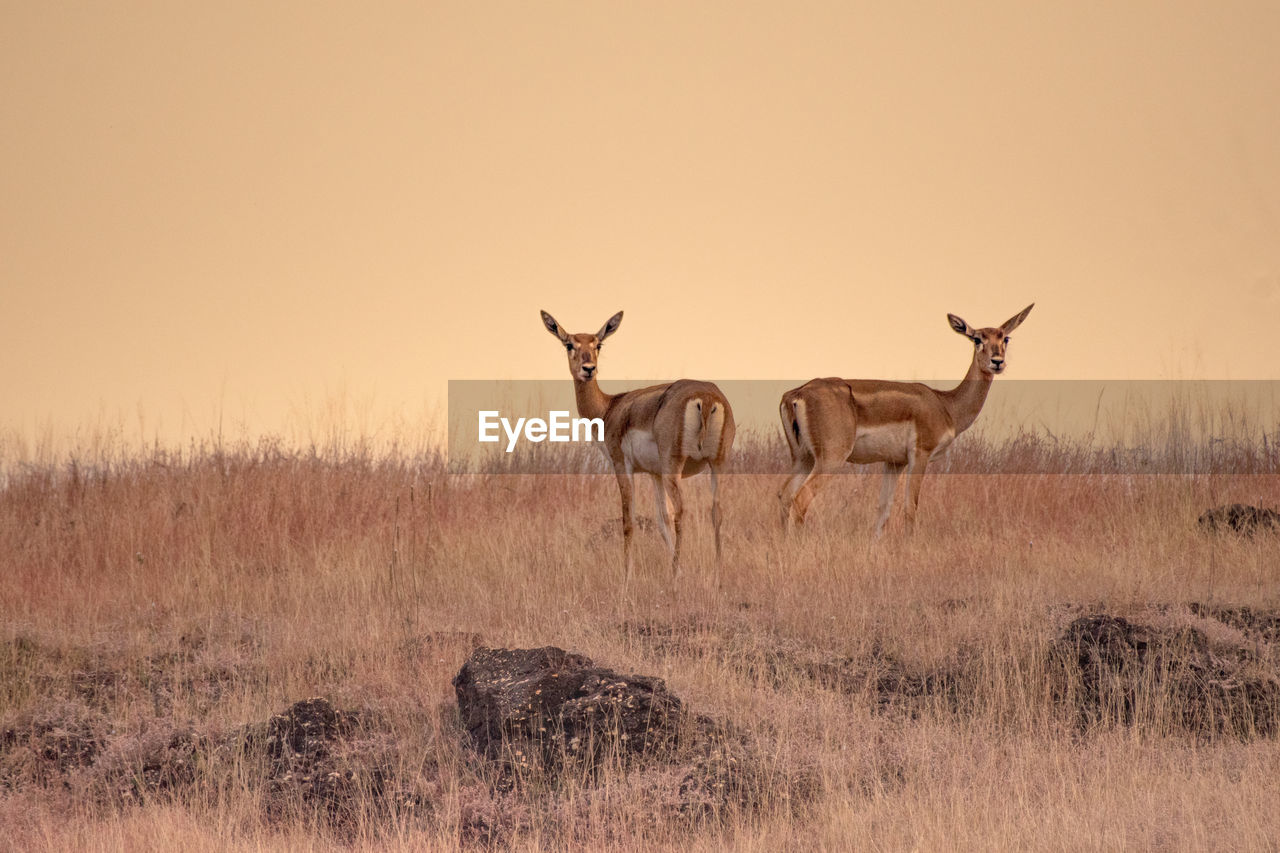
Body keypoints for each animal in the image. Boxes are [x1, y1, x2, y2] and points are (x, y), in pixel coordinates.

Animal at [542, 308, 742, 581]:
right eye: (570, 344)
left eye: (598, 344)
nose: (588, 368)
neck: (609, 408)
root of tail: (707, 397)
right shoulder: (653, 474)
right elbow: (661, 519)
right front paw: (681, 572)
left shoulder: (622, 466)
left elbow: (629, 520)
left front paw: (627, 577)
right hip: (716, 464)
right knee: (715, 511)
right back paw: (716, 577)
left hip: (674, 468)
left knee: (682, 510)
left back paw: (673, 578)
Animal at [773, 303, 1034, 532]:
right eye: (977, 338)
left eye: (1005, 338)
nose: (997, 361)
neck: (946, 405)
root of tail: (795, 395)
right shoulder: (919, 455)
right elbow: (910, 507)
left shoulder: (893, 462)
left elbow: (883, 509)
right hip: (831, 458)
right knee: (801, 498)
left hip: (804, 458)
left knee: (784, 494)